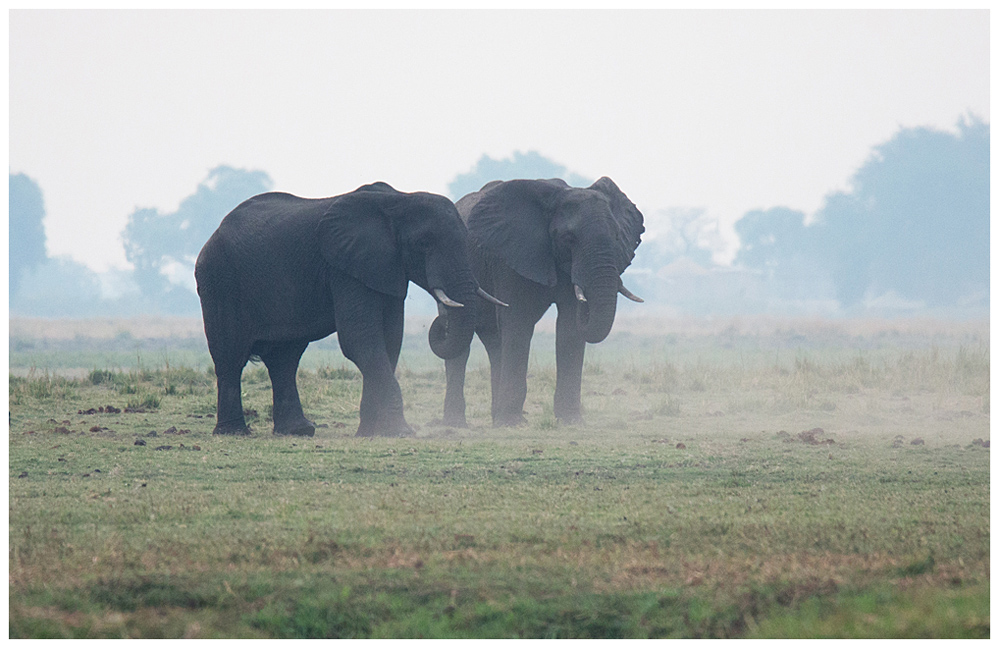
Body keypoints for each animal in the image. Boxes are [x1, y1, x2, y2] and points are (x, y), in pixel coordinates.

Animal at [195, 180, 504, 438]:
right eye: (423, 244)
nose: (442, 320)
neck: (398, 201)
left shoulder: (385, 268)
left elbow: (390, 341)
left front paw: (371, 432)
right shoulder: (345, 267)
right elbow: (361, 340)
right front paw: (400, 432)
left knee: (285, 358)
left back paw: (299, 431)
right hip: (218, 281)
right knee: (230, 356)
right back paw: (234, 433)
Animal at [440, 177, 648, 428]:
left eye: (617, 237)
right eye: (569, 239)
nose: (585, 300)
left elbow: (569, 328)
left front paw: (570, 421)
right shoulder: (509, 255)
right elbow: (517, 321)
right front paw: (512, 423)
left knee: (494, 342)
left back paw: (495, 418)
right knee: (461, 339)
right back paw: (457, 423)